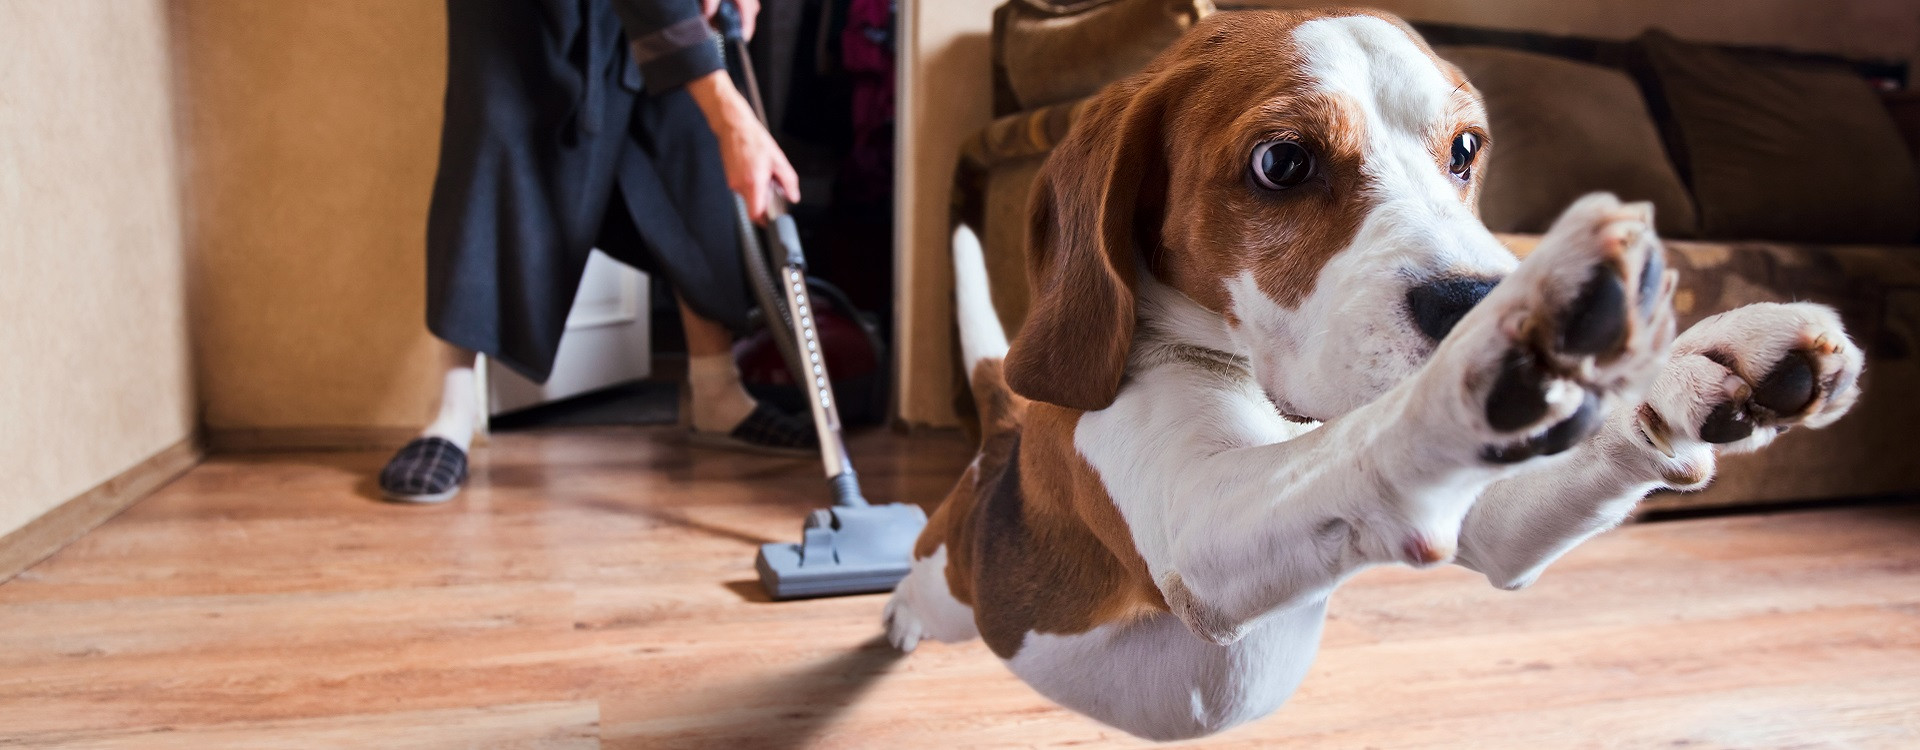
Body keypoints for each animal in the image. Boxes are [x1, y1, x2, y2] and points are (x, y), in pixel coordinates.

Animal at [890, 8, 1866, 744]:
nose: (1480, 297)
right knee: (919, 581)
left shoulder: (1485, 520)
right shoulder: (1196, 523)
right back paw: (896, 615)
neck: (1255, 392)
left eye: (1465, 148)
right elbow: (1375, 436)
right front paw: (1507, 348)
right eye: (1281, 162)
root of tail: (1000, 442)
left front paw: (1696, 363)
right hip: (954, 584)